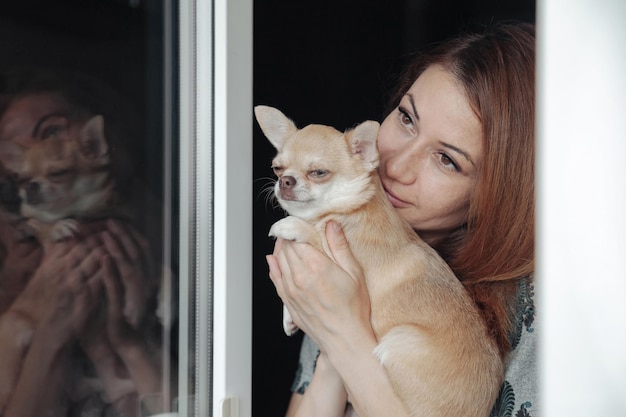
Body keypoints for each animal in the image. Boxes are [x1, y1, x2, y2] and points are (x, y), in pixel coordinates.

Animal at [254, 105, 502, 416]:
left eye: (319, 172)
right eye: (277, 168)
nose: (284, 181)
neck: (343, 210)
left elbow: (315, 235)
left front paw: (292, 226)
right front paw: (289, 317)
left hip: (397, 343)